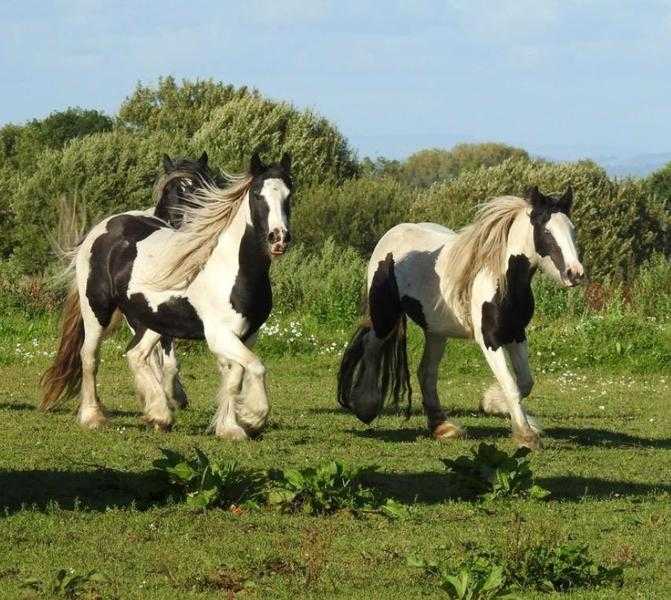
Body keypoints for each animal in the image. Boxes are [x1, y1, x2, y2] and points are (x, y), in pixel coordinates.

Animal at [40, 150, 292, 440]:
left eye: (289, 194)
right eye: (258, 195)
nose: (279, 238)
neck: (230, 269)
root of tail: (104, 227)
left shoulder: (247, 335)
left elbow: (235, 375)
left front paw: (231, 426)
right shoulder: (219, 335)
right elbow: (256, 367)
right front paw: (253, 417)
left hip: (152, 321)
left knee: (136, 354)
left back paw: (159, 414)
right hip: (97, 311)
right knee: (90, 357)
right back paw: (94, 417)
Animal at [338, 188, 584, 450]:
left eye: (572, 230)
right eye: (547, 232)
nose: (575, 273)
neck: (499, 279)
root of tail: (392, 235)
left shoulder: (516, 334)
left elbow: (525, 383)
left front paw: (491, 404)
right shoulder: (490, 340)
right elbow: (511, 384)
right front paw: (526, 435)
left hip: (435, 330)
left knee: (426, 372)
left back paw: (443, 427)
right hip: (385, 317)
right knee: (371, 348)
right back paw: (365, 406)